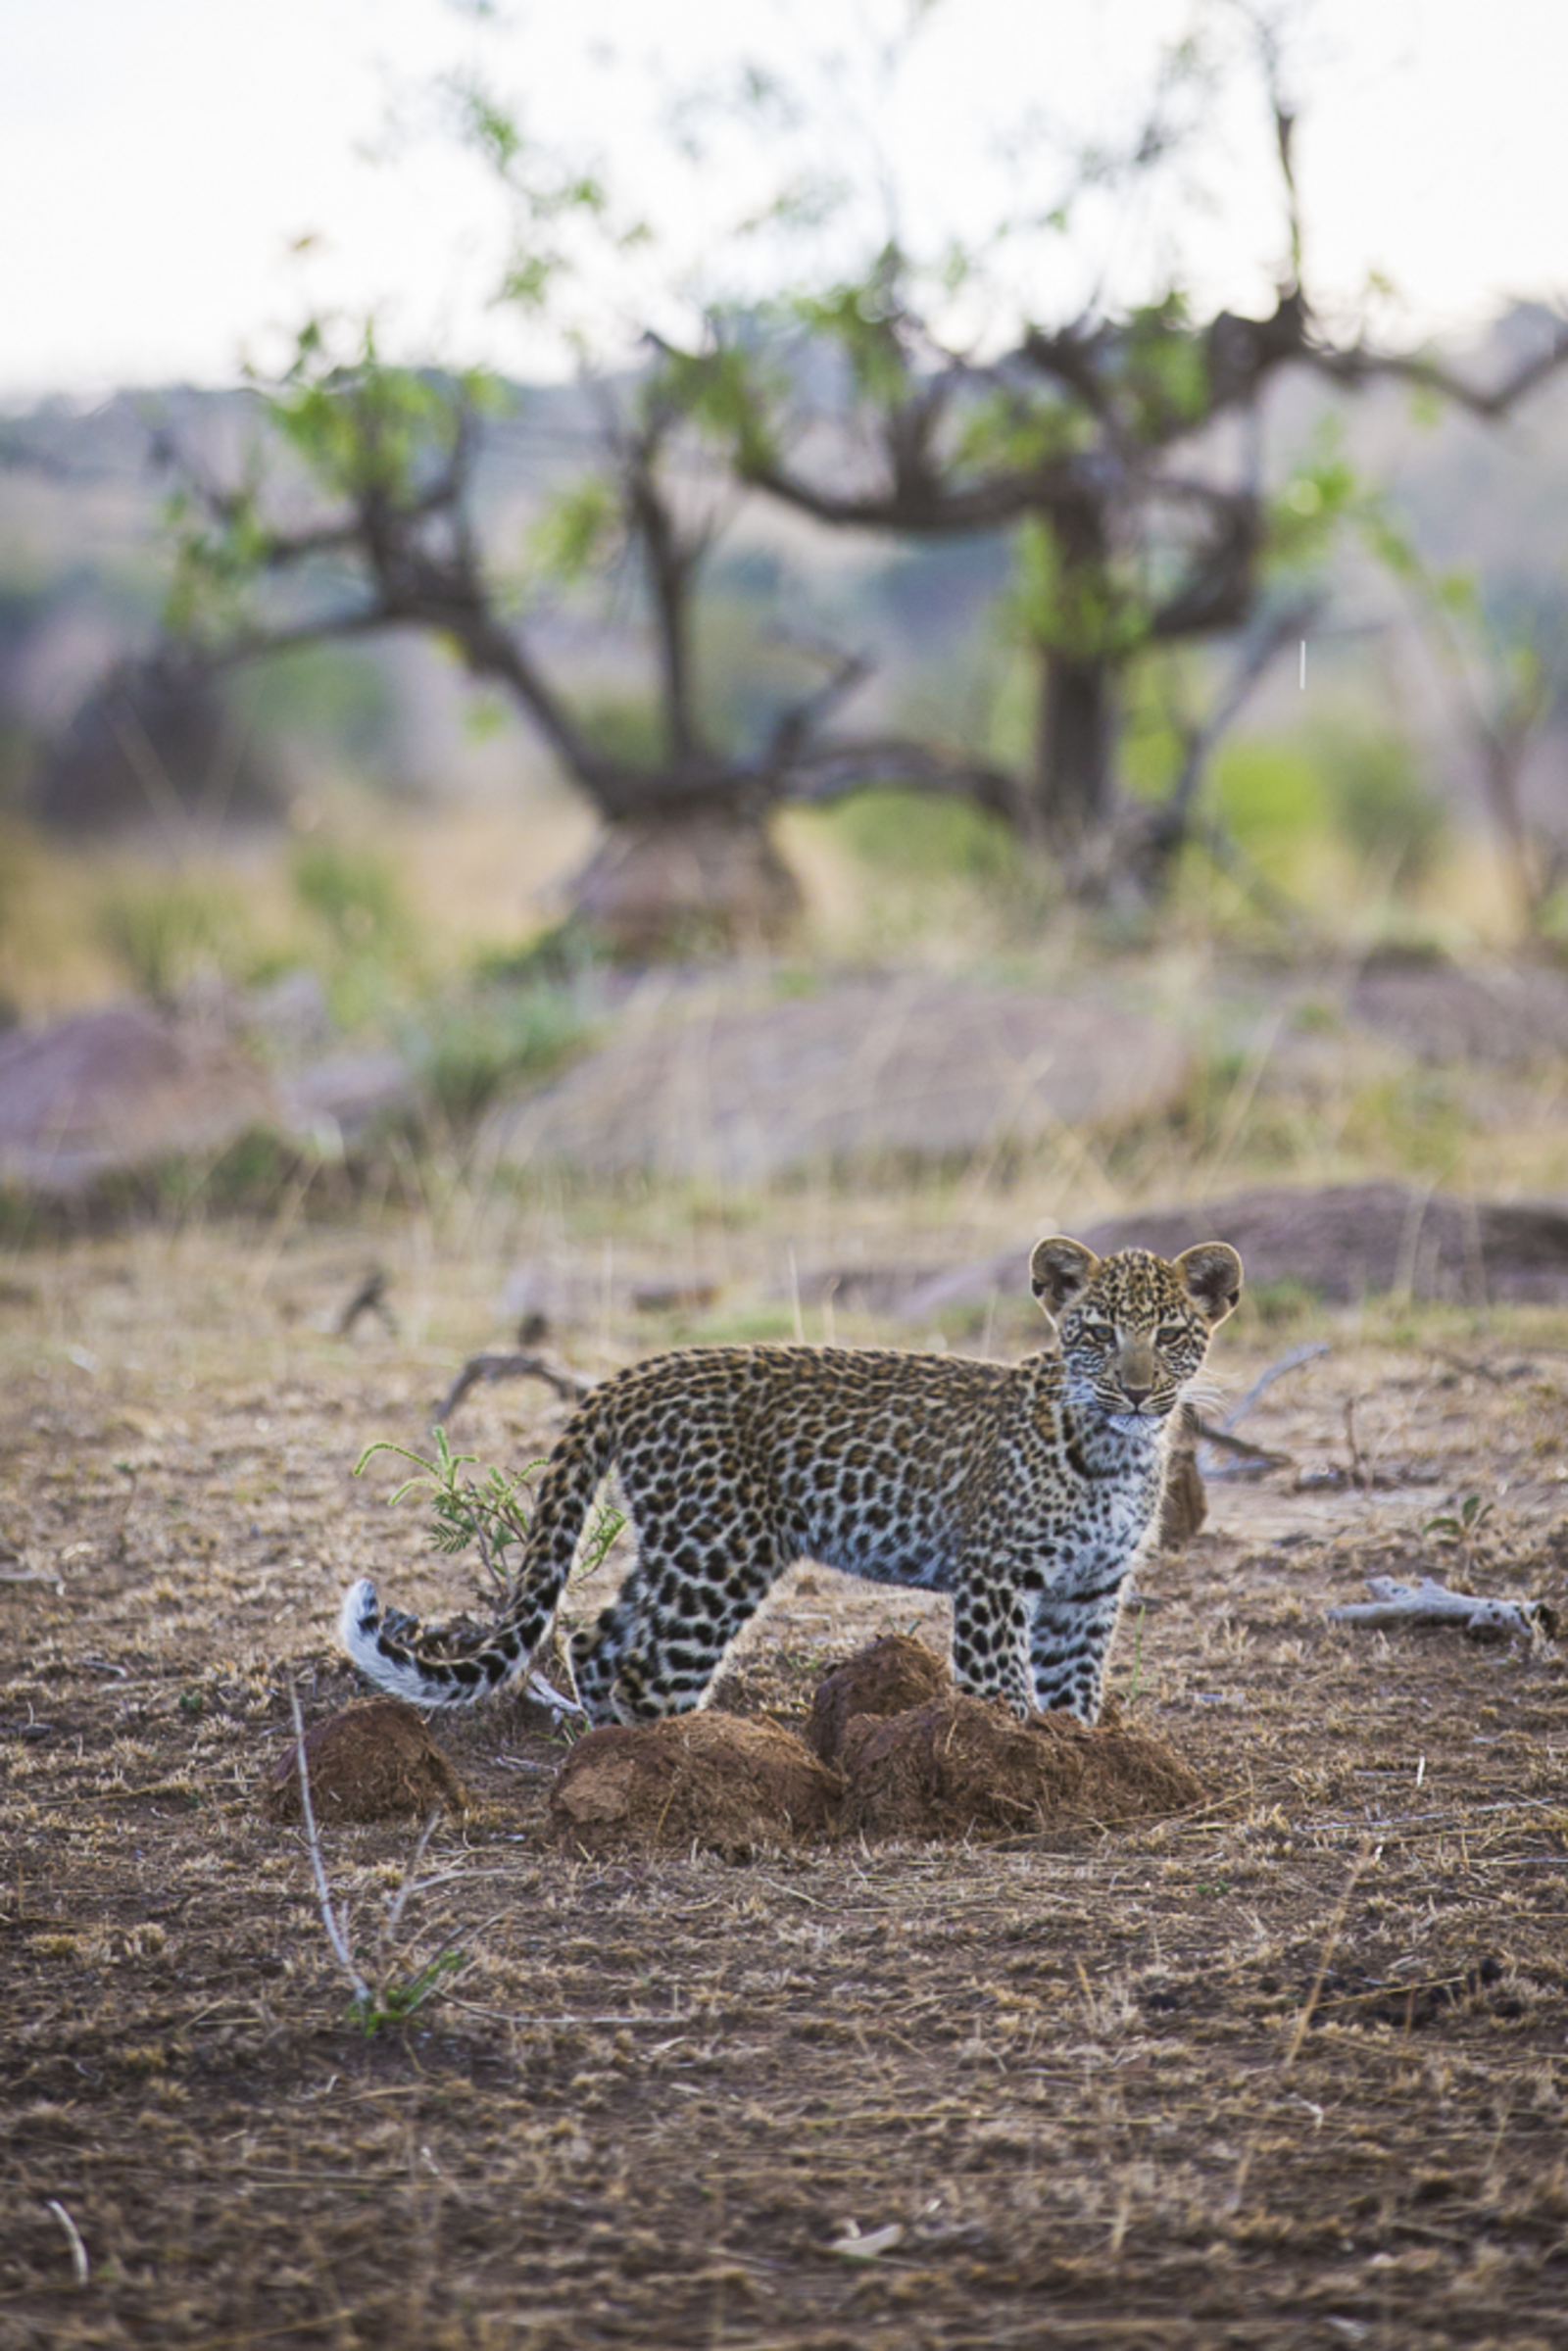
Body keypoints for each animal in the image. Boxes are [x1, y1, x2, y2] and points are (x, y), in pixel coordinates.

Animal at [340, 1234, 1242, 1727]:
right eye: (1096, 1332)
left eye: (1170, 1334)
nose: (1136, 1389)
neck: (1119, 1451)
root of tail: (636, 1372)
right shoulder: (995, 1576)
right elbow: (1005, 1694)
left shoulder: (1087, 1589)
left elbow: (1073, 1697)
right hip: (721, 1555)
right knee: (645, 1670)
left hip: (682, 1546)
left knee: (596, 1638)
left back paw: (609, 1749)